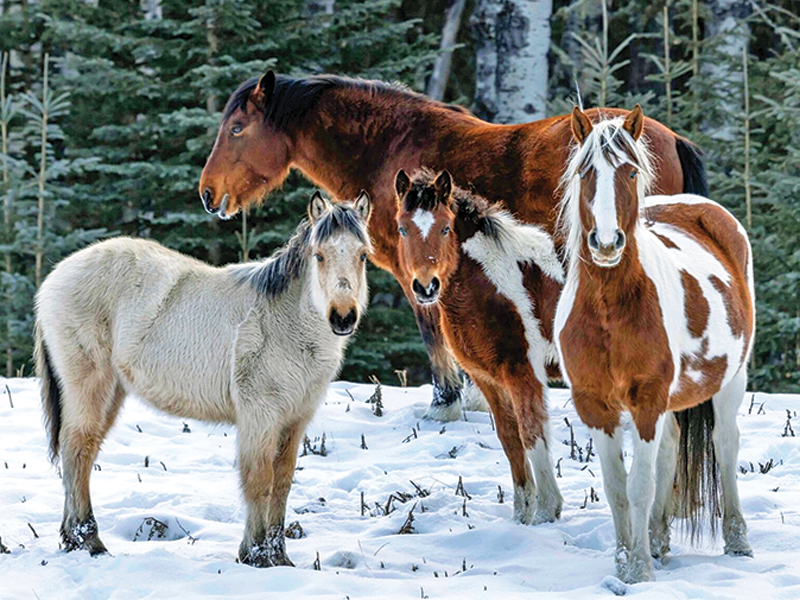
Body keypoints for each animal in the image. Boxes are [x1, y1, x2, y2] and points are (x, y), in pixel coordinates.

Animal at [35, 191, 372, 567]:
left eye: (362, 255)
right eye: (319, 255)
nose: (343, 317)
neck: (285, 323)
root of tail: (56, 276)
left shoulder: (295, 420)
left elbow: (282, 481)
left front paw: (279, 558)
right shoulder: (259, 416)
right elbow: (259, 479)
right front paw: (256, 555)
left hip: (112, 393)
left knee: (83, 451)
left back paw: (73, 539)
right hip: (90, 385)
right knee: (77, 449)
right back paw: (90, 541)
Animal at [198, 69, 707, 421]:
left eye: (238, 128)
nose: (207, 193)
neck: (388, 149)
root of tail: (670, 138)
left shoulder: (418, 273)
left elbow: (433, 334)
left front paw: (446, 404)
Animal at [394, 168, 565, 524]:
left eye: (445, 227)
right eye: (403, 228)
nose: (426, 287)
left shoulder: (525, 375)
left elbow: (532, 435)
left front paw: (546, 514)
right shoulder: (487, 379)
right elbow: (510, 439)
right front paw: (521, 517)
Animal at [554, 106, 754, 583]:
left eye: (629, 171)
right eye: (585, 172)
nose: (606, 243)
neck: (610, 309)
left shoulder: (646, 399)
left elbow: (639, 486)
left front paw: (639, 571)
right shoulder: (596, 405)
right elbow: (617, 489)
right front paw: (626, 561)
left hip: (731, 381)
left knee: (725, 443)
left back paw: (737, 539)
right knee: (669, 450)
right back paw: (660, 538)